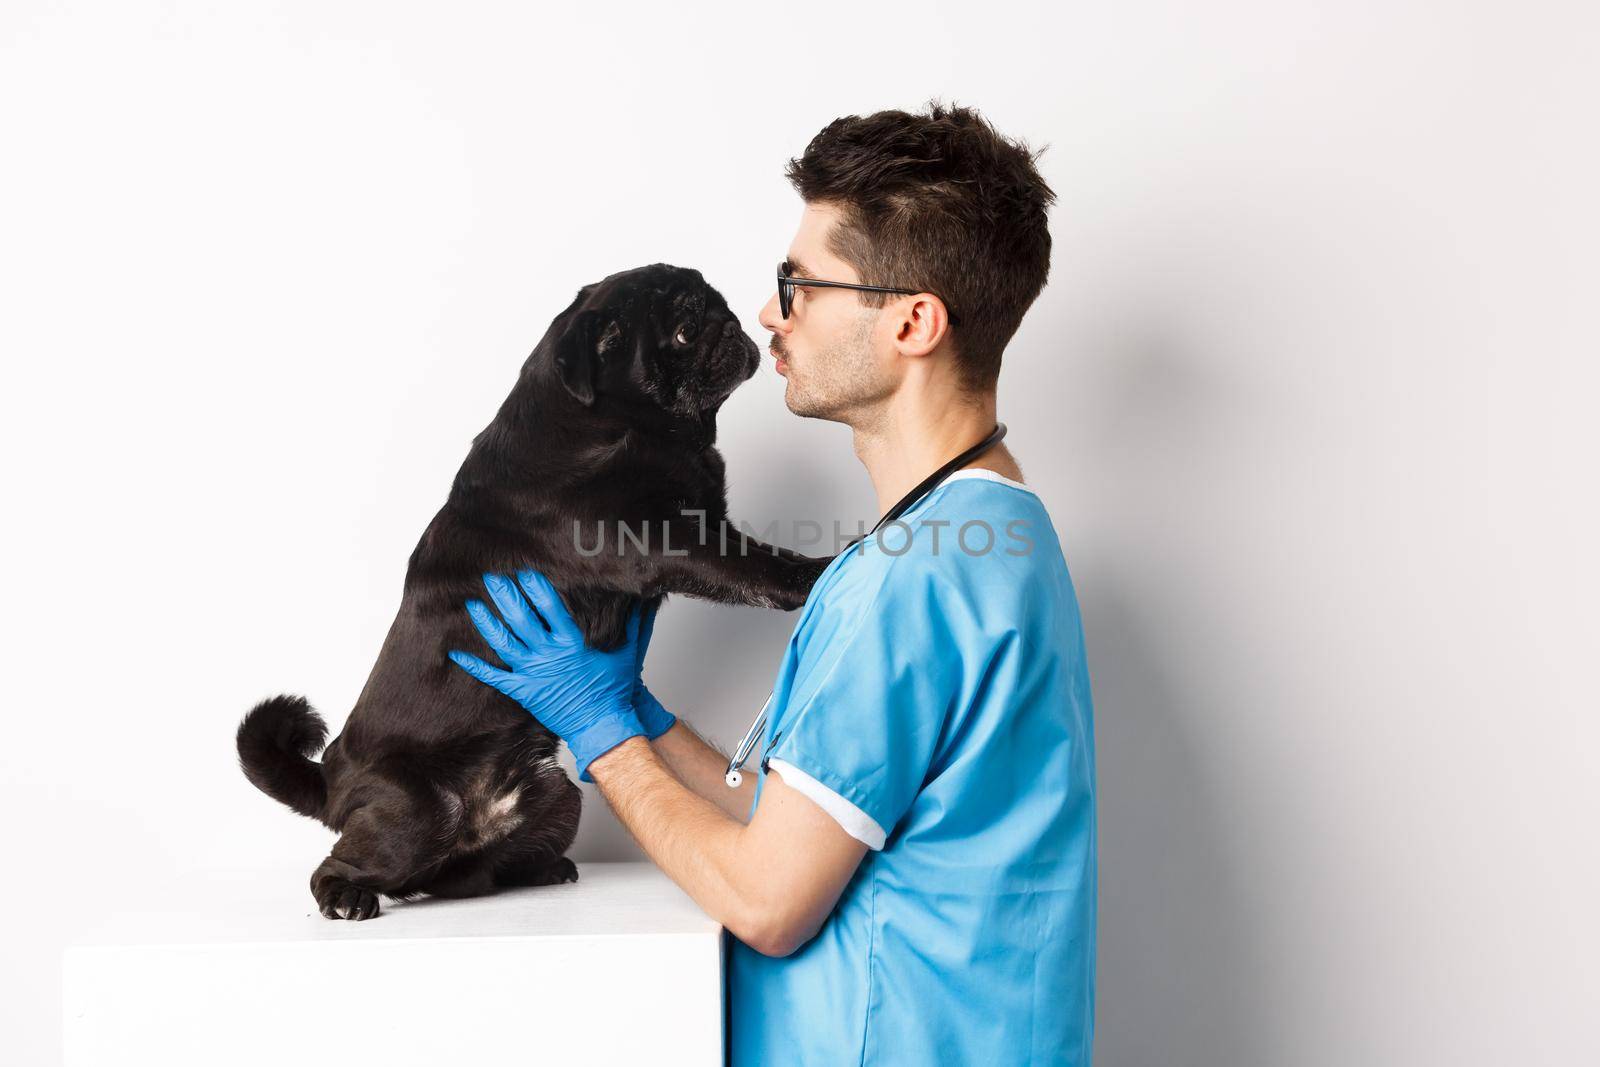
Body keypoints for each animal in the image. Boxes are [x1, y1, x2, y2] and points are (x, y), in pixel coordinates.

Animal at [243, 265, 832, 921]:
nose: (732, 324)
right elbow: (747, 567)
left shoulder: (705, 520)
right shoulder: (661, 538)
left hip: (556, 795)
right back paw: (346, 896)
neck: (616, 426)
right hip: (417, 813)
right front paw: (814, 573)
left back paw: (539, 868)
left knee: (465, 876)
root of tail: (331, 774)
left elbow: (755, 552)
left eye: (718, 307)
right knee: (344, 864)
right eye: (684, 331)